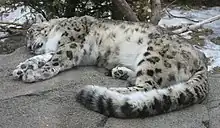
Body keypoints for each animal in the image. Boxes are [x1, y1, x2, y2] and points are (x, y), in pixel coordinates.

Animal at [11, 15, 208, 118]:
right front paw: (21, 68)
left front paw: (33, 74)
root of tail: (202, 60)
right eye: (27, 38)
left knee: (148, 86)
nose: (29, 47)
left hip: (153, 56)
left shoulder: (71, 45)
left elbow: (54, 61)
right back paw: (120, 71)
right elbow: (43, 57)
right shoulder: (57, 50)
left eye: (31, 32)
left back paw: (113, 90)